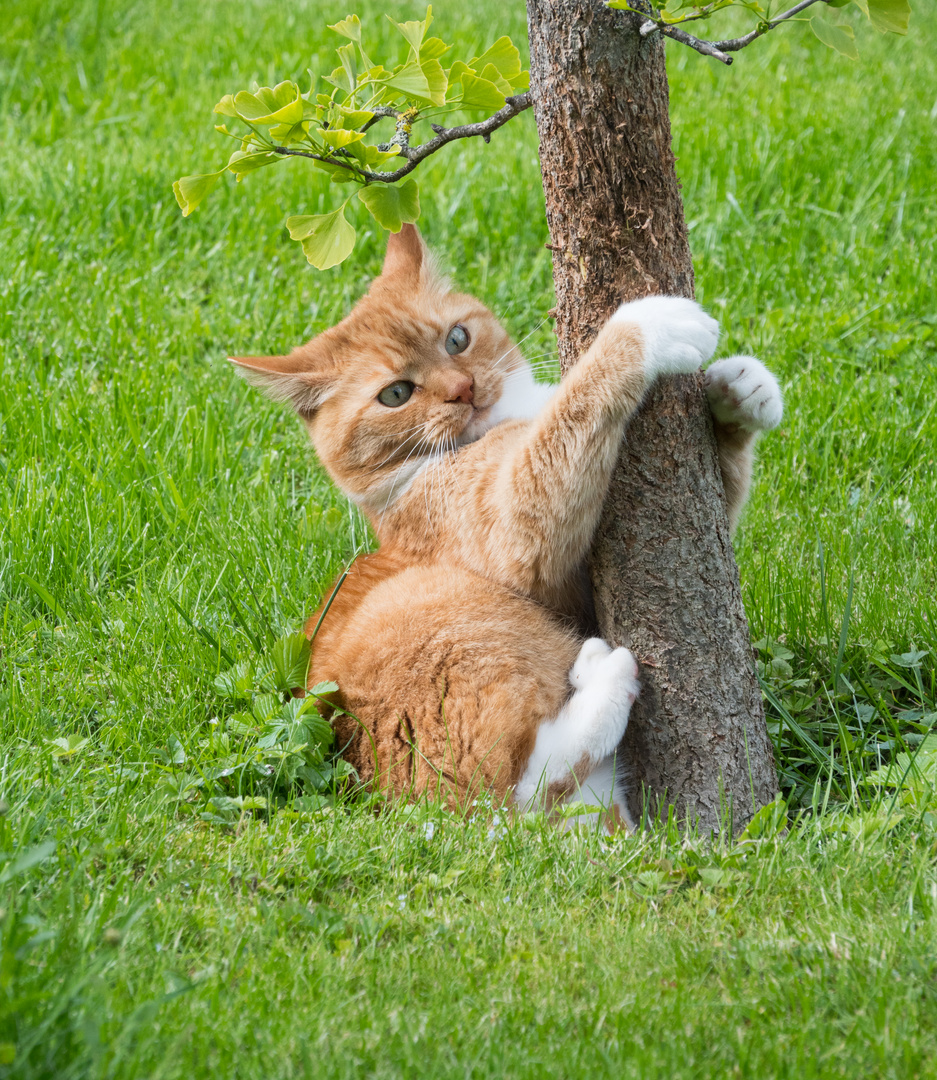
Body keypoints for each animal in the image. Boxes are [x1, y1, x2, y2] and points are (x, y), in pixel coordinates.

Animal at [231, 221, 781, 825]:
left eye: (457, 339)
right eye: (396, 393)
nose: (463, 389)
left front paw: (740, 389)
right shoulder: (516, 526)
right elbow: (572, 411)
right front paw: (649, 326)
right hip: (428, 615)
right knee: (515, 781)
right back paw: (601, 680)